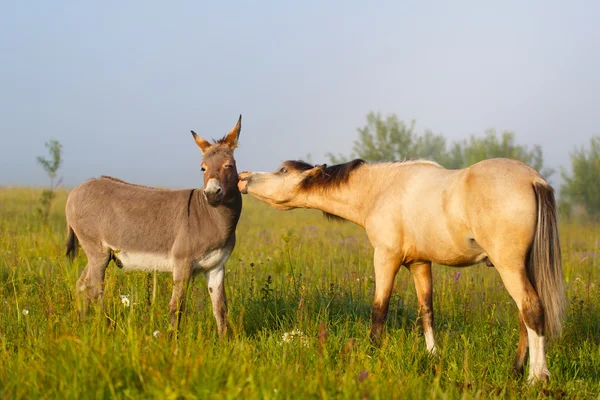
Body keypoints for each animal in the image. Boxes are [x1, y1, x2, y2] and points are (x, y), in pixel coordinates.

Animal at [65, 115, 244, 338]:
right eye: (203, 168)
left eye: (229, 165)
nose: (212, 194)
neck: (210, 216)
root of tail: (75, 191)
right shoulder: (182, 263)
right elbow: (177, 305)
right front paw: (173, 341)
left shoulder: (216, 267)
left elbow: (220, 308)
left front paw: (224, 342)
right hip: (97, 251)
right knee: (94, 289)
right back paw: (106, 331)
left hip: (97, 254)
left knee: (81, 285)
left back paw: (81, 326)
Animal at [237, 158, 564, 382]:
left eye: (283, 171)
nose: (242, 177)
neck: (381, 189)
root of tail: (534, 180)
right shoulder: (420, 264)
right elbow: (426, 310)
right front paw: (432, 356)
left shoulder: (386, 257)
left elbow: (379, 309)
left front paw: (372, 353)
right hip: (522, 267)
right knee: (525, 316)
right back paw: (516, 370)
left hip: (510, 266)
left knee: (532, 309)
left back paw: (537, 377)